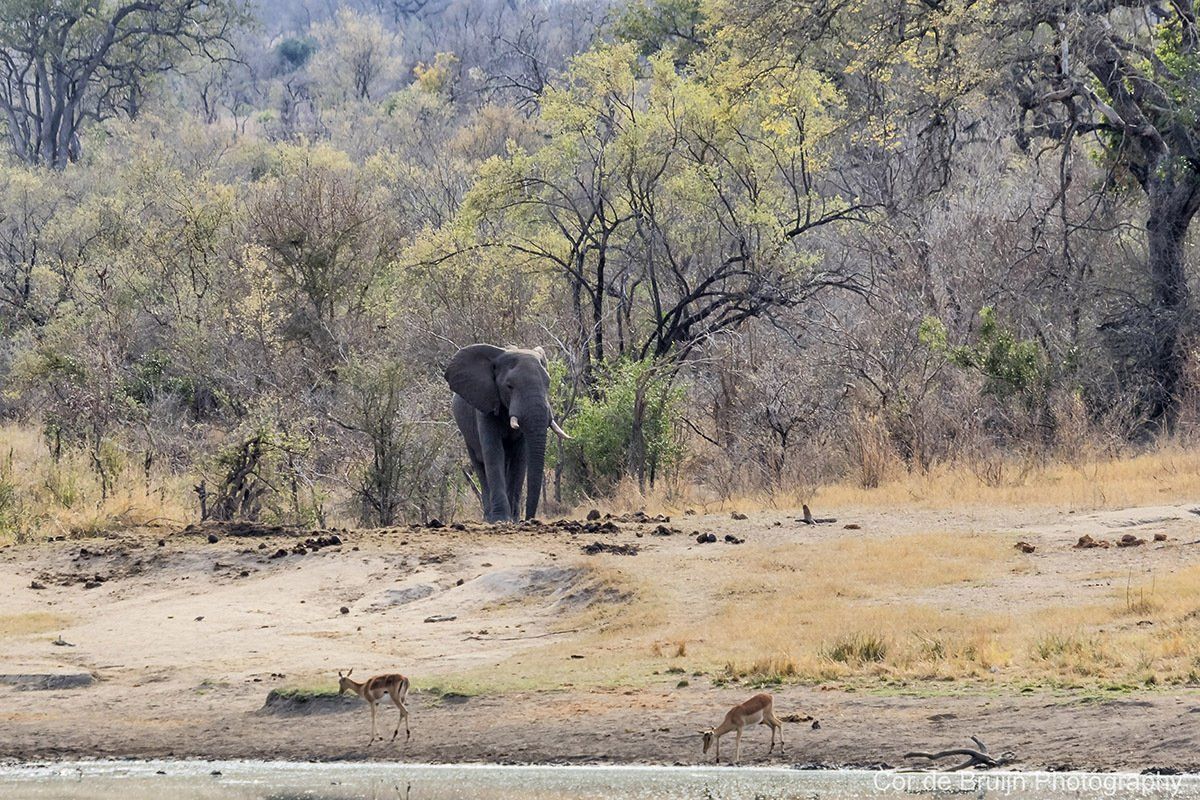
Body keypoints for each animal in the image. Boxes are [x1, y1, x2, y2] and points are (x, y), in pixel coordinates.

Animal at [445, 343, 571, 523]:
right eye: (509, 386)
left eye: (548, 384)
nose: (530, 519)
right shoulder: (485, 405)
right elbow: (493, 453)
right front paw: (501, 519)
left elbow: (520, 459)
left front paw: (514, 519)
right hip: (466, 433)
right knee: (480, 466)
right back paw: (488, 517)